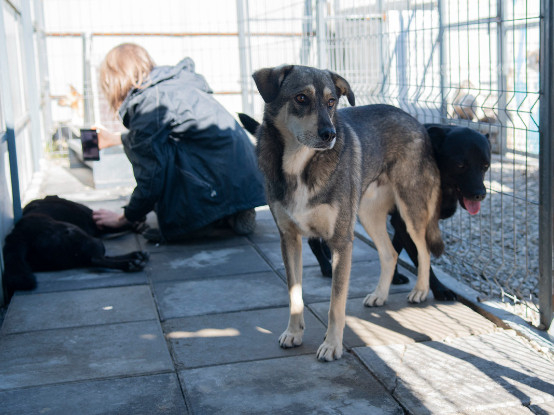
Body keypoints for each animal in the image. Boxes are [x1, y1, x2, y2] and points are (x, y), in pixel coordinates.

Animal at [2, 196, 149, 301]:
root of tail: (18, 235)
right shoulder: (98, 223)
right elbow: (122, 224)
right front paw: (136, 223)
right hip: (86, 237)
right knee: (96, 259)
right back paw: (131, 262)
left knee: (93, 259)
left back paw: (136, 257)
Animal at [251, 64, 444, 361]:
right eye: (301, 98)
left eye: (332, 102)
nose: (329, 134)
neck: (299, 165)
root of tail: (415, 120)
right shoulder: (289, 239)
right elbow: (295, 295)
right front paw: (294, 333)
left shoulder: (341, 242)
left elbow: (336, 304)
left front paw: (332, 345)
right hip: (367, 215)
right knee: (390, 254)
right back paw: (379, 295)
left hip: (410, 209)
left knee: (422, 249)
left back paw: (420, 290)